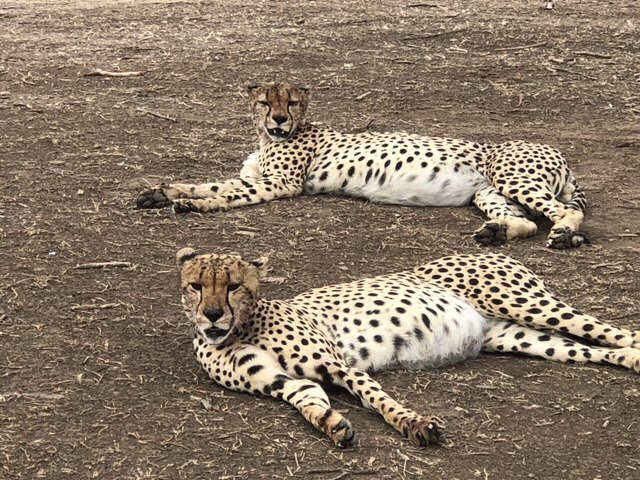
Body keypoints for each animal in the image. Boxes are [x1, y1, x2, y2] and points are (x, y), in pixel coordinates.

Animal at [140, 81, 592, 249]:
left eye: (292, 101)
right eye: (266, 101)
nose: (279, 120)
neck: (269, 138)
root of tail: (561, 155)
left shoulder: (279, 185)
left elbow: (226, 195)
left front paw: (191, 205)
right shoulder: (254, 176)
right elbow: (209, 184)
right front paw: (161, 192)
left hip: (512, 176)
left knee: (563, 212)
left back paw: (564, 234)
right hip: (488, 192)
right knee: (527, 220)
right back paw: (497, 232)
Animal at [176, 249, 640, 448]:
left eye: (234, 286)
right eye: (196, 286)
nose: (212, 315)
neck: (238, 331)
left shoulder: (342, 367)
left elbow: (379, 399)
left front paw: (414, 424)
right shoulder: (286, 384)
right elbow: (311, 403)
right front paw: (333, 425)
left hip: (528, 305)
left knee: (611, 330)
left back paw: (634, 350)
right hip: (520, 336)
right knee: (590, 348)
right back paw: (628, 360)